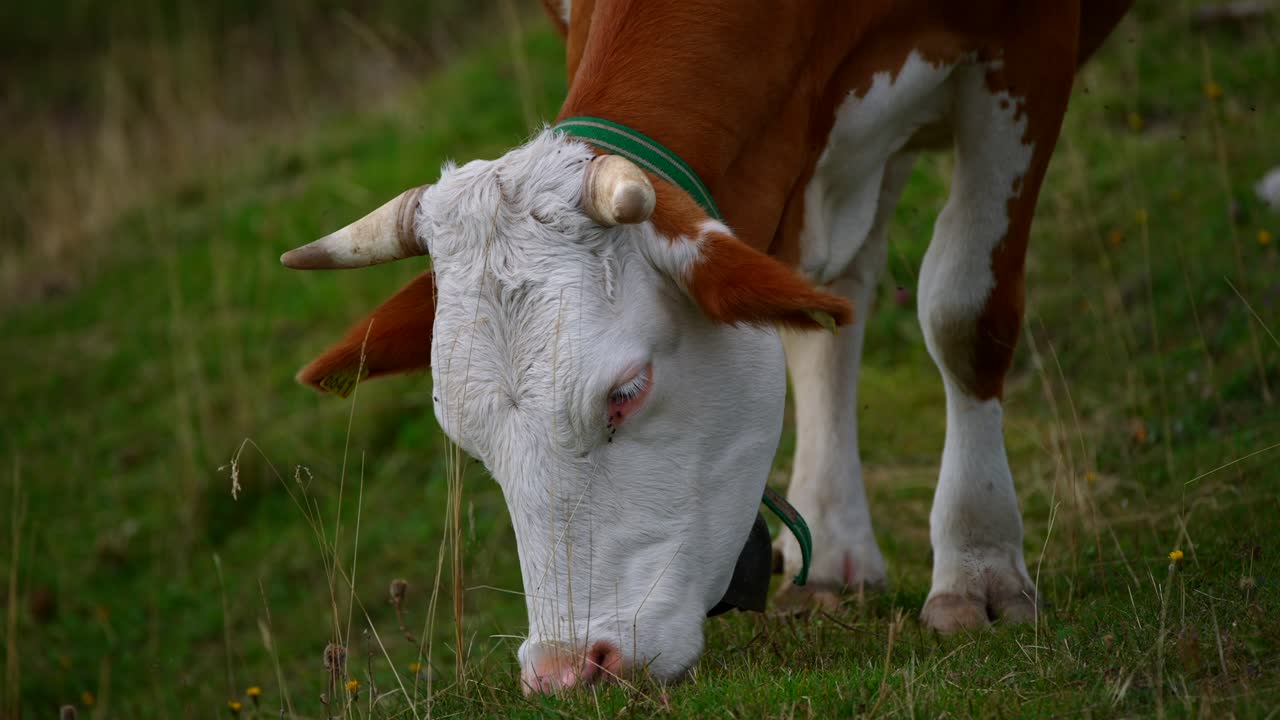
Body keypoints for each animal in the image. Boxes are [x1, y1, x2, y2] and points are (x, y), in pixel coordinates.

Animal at [280, 0, 1131, 695]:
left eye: (626, 393)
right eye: (469, 438)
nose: (566, 672)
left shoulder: (1025, 49)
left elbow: (964, 313)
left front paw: (979, 566)